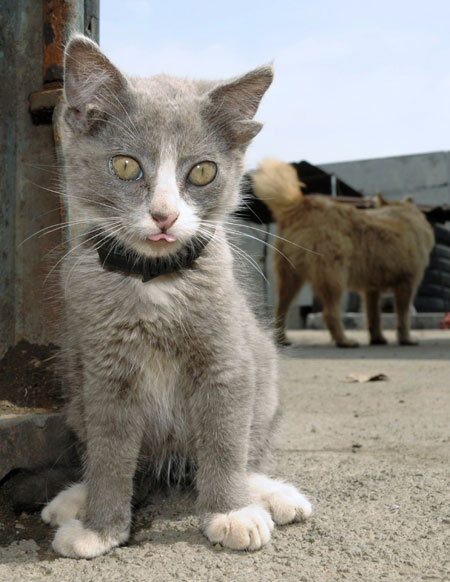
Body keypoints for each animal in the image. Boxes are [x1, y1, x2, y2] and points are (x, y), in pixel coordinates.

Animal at [40, 36, 312, 560]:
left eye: (203, 172)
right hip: (72, 382)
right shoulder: (103, 370)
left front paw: (230, 512)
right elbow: (110, 451)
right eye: (125, 165)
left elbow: (226, 439)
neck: (154, 284)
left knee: (247, 447)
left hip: (265, 375)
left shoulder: (227, 358)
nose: (164, 215)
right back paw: (76, 496)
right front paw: (100, 527)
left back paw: (267, 492)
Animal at [251, 159, 434, 346]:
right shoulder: (408, 281)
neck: (401, 211)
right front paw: (405, 338)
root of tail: (300, 206)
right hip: (333, 273)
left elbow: (373, 314)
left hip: (290, 274)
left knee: (281, 308)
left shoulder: (372, 287)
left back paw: (282, 339)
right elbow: (403, 316)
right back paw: (343, 340)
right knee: (330, 312)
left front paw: (377, 338)